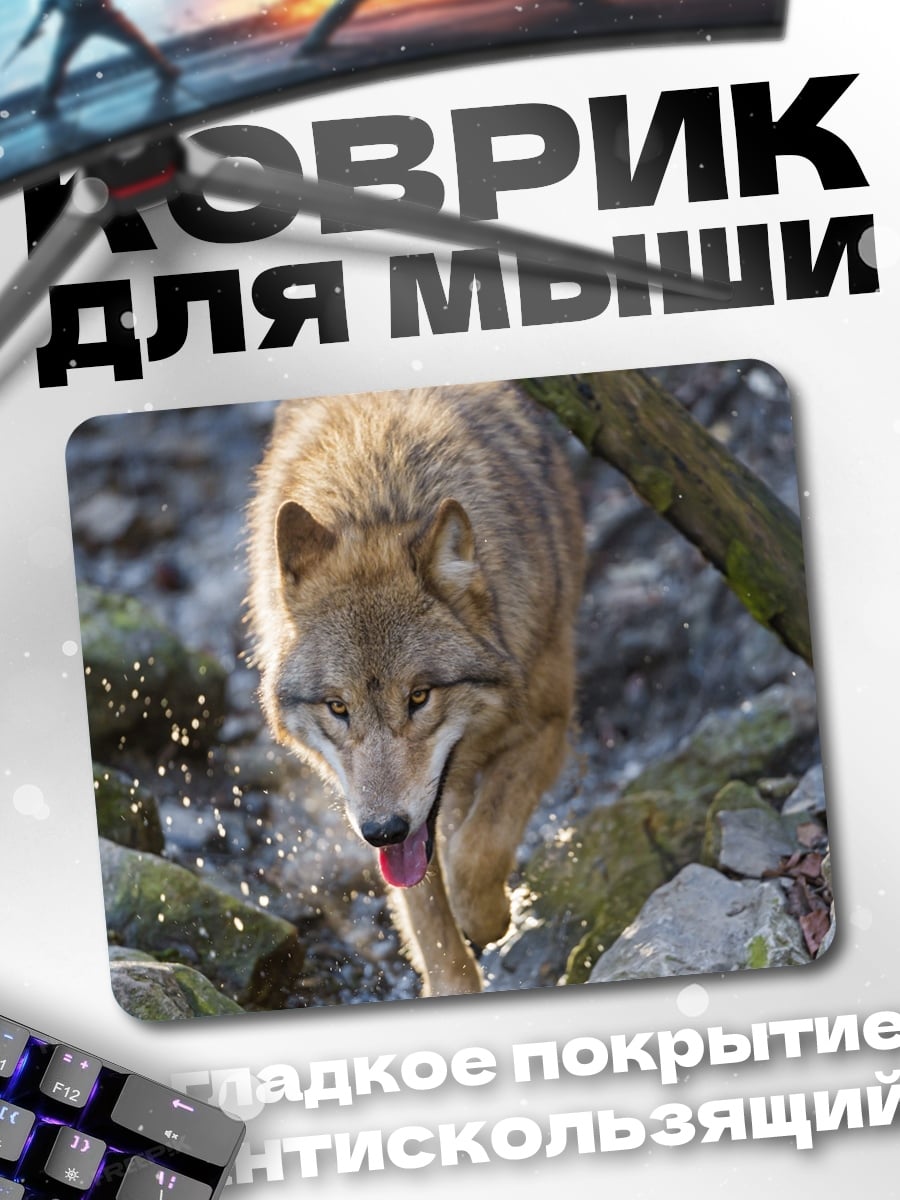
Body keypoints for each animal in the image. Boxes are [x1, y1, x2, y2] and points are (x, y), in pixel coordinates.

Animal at [247, 382, 584, 996]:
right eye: (339, 707)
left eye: (419, 697)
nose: (382, 831)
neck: (379, 500)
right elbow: (428, 911)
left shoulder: (549, 723)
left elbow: (477, 852)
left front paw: (492, 918)